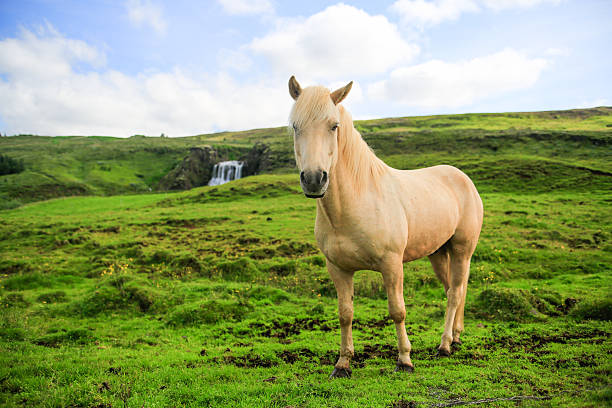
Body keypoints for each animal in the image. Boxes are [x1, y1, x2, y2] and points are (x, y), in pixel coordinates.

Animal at [286, 75, 482, 378]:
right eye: (296, 126)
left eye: (334, 126)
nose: (314, 179)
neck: (357, 201)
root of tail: (463, 178)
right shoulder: (338, 268)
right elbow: (345, 313)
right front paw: (343, 363)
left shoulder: (391, 265)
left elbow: (397, 311)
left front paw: (405, 360)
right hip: (438, 253)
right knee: (454, 289)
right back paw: (457, 336)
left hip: (462, 250)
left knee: (454, 293)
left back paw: (445, 345)